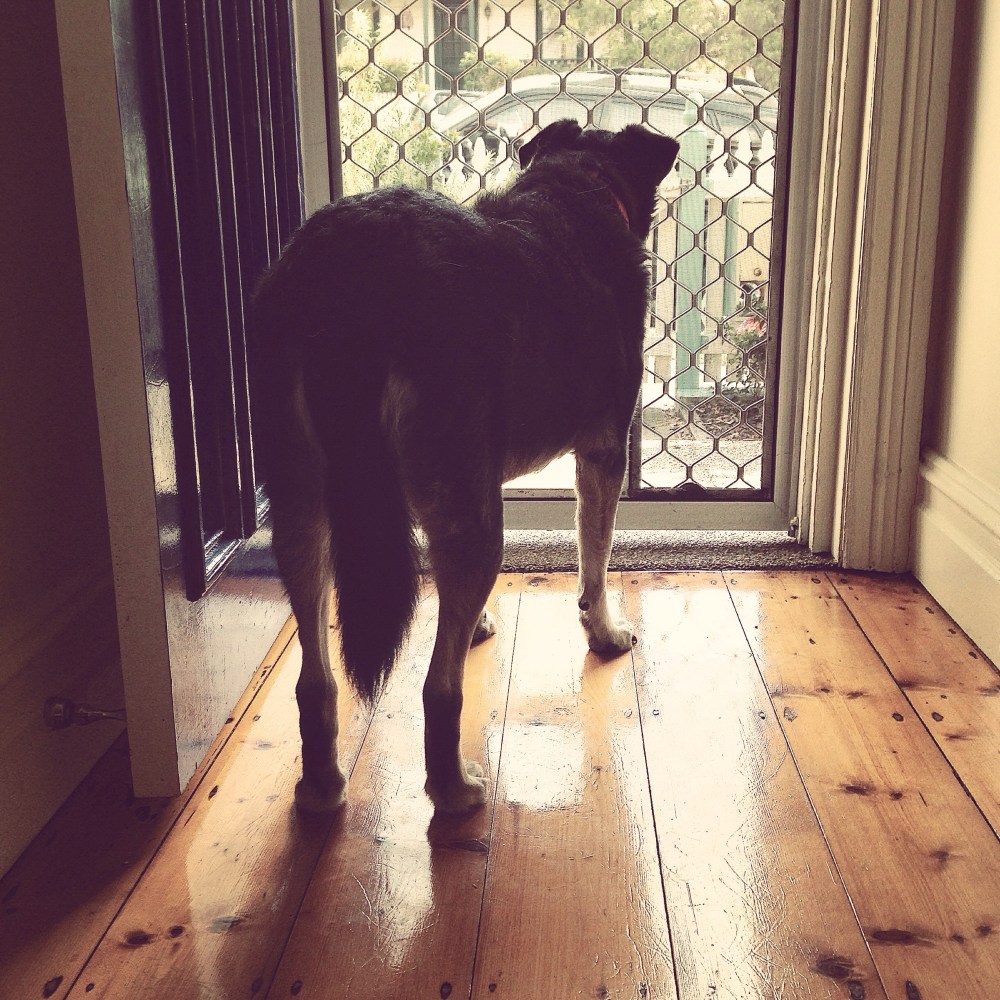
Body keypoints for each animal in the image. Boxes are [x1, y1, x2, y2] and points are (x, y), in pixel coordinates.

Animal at [252, 120, 679, 814]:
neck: (577, 187)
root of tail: (352, 270)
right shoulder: (602, 449)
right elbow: (594, 557)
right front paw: (605, 632)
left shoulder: (478, 472)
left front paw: (474, 620)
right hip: (472, 516)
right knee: (438, 687)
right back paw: (454, 790)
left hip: (300, 499)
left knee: (314, 677)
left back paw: (320, 789)